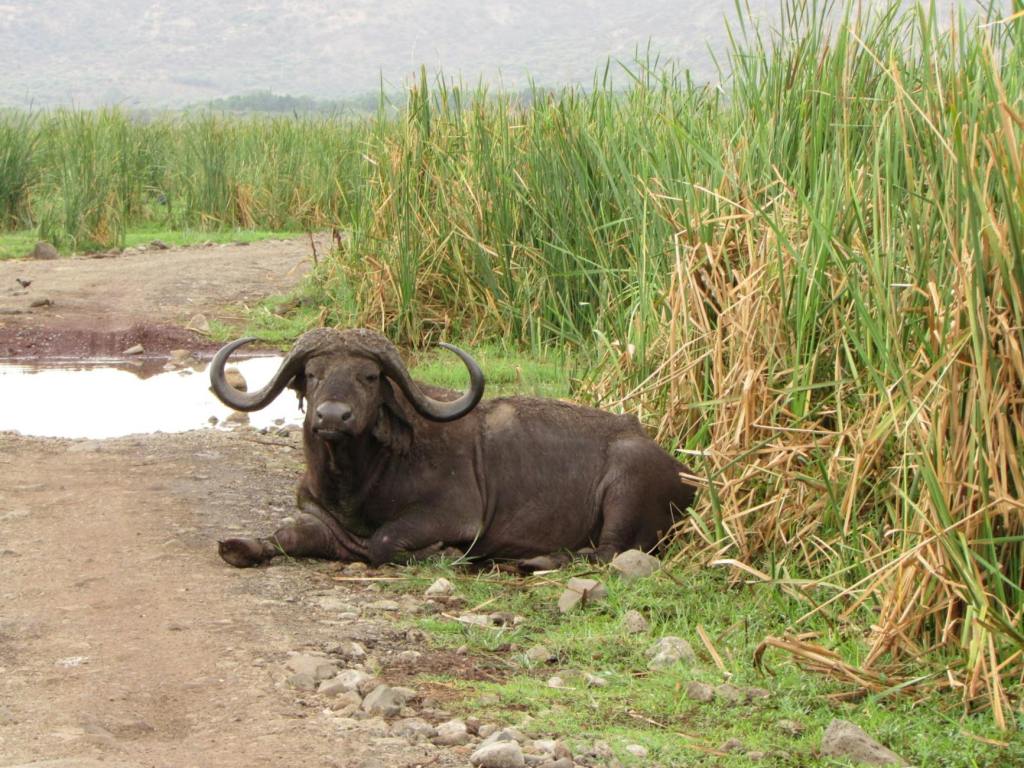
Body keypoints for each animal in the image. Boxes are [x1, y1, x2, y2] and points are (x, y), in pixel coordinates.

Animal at [210, 328, 696, 571]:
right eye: (312, 374)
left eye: (369, 376)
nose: (332, 417)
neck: (359, 477)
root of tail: (685, 475)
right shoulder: (314, 511)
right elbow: (290, 534)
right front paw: (244, 546)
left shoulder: (455, 515)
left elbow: (383, 542)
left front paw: (441, 553)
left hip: (625, 488)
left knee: (607, 553)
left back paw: (532, 561)